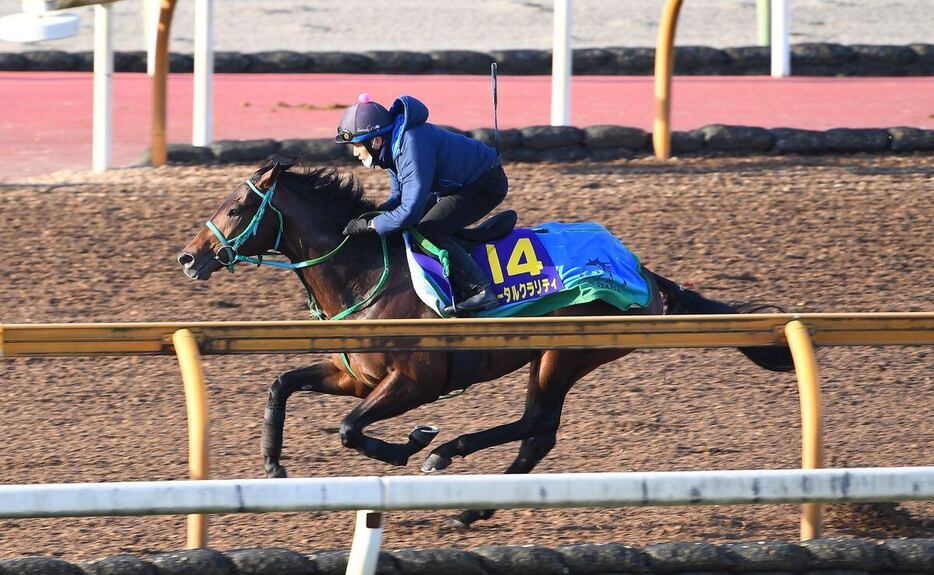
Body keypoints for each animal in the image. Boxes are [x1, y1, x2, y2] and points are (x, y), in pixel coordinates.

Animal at [179, 160, 792, 528]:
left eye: (236, 208)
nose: (188, 257)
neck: (365, 271)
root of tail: (645, 274)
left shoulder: (417, 381)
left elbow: (350, 429)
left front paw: (411, 444)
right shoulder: (354, 374)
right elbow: (281, 385)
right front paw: (272, 465)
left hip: (565, 352)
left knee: (537, 428)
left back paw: (449, 463)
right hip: (553, 357)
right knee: (537, 432)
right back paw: (468, 499)